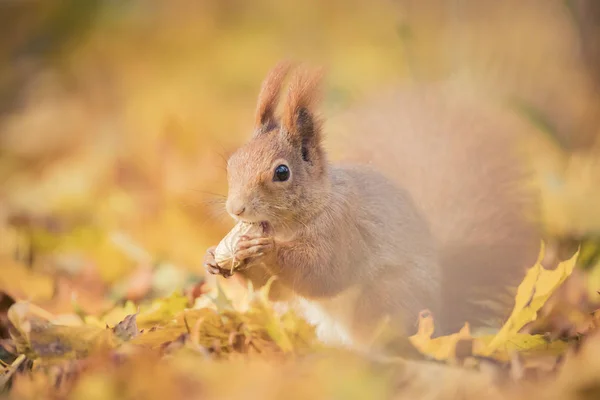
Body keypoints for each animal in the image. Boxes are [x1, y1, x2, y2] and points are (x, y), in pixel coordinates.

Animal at [204, 61, 540, 352]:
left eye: (282, 172)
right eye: (232, 162)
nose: (236, 209)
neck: (293, 223)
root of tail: (440, 319)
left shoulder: (342, 230)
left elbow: (323, 273)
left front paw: (267, 249)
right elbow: (276, 291)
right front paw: (213, 259)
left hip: (384, 301)